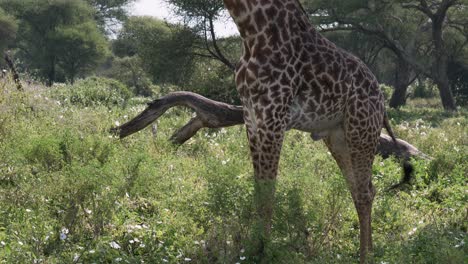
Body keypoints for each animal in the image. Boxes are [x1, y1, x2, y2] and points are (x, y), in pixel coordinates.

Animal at [223, 0, 398, 262]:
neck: (251, 31)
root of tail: (382, 100)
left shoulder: (273, 116)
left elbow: (268, 194)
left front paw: (264, 252)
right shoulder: (251, 116)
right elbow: (258, 191)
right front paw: (253, 247)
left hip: (362, 131)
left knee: (365, 192)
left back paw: (365, 256)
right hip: (338, 138)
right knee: (363, 189)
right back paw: (368, 250)